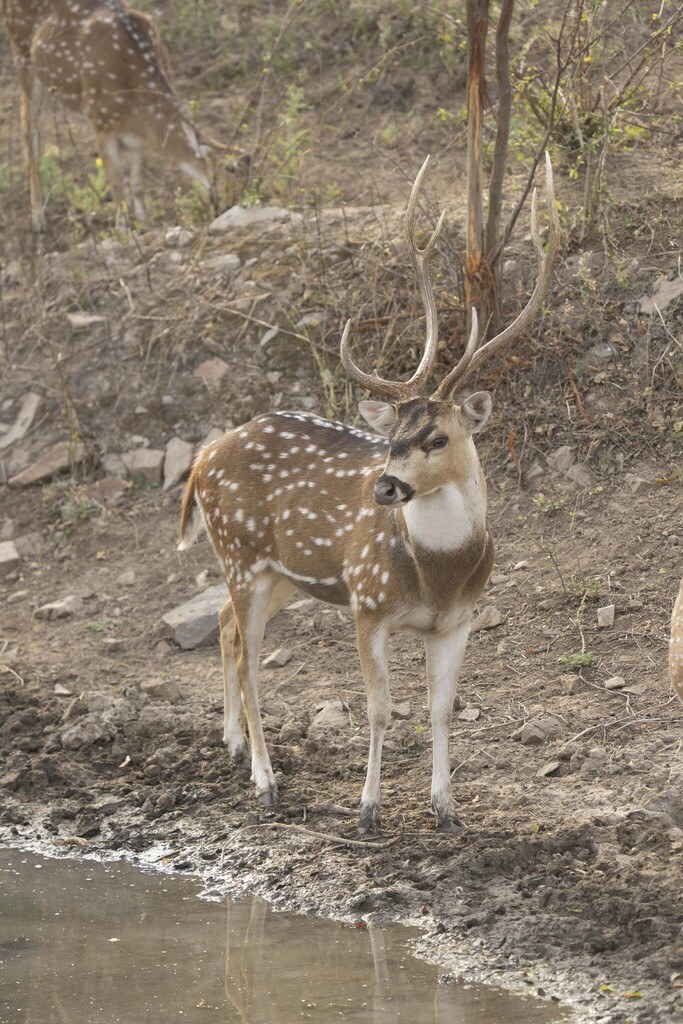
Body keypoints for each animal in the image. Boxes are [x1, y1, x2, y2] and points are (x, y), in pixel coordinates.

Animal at [3, 0, 249, 230]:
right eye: (230, 169)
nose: (234, 206)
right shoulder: (100, 120)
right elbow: (117, 185)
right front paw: (123, 230)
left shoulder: (139, 137)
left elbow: (137, 181)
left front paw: (144, 223)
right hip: (23, 56)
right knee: (30, 134)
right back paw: (37, 220)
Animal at [178, 154, 560, 834]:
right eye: (391, 436)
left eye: (436, 436)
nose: (384, 485)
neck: (435, 574)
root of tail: (200, 460)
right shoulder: (368, 602)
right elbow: (380, 708)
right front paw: (368, 809)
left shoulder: (458, 619)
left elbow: (440, 708)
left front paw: (447, 808)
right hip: (240, 553)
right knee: (248, 656)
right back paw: (265, 780)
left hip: (282, 573)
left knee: (224, 625)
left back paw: (232, 745)